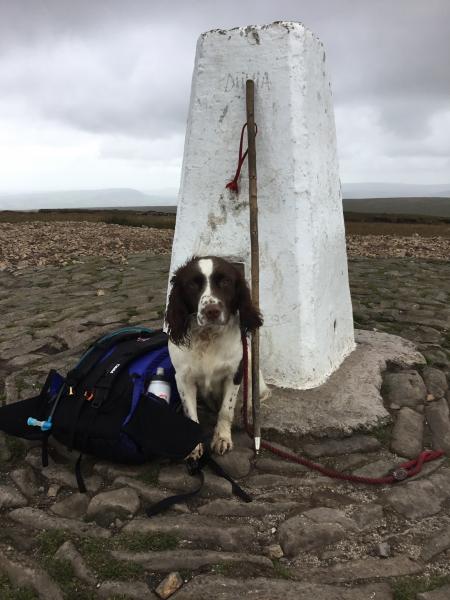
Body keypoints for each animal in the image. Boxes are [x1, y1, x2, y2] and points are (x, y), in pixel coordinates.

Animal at [165, 255, 264, 458]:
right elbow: (190, 415)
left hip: (250, 361)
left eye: (225, 281)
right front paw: (193, 446)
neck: (208, 336)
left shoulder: (234, 374)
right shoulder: (183, 378)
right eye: (192, 285)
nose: (211, 311)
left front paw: (222, 439)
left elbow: (226, 410)